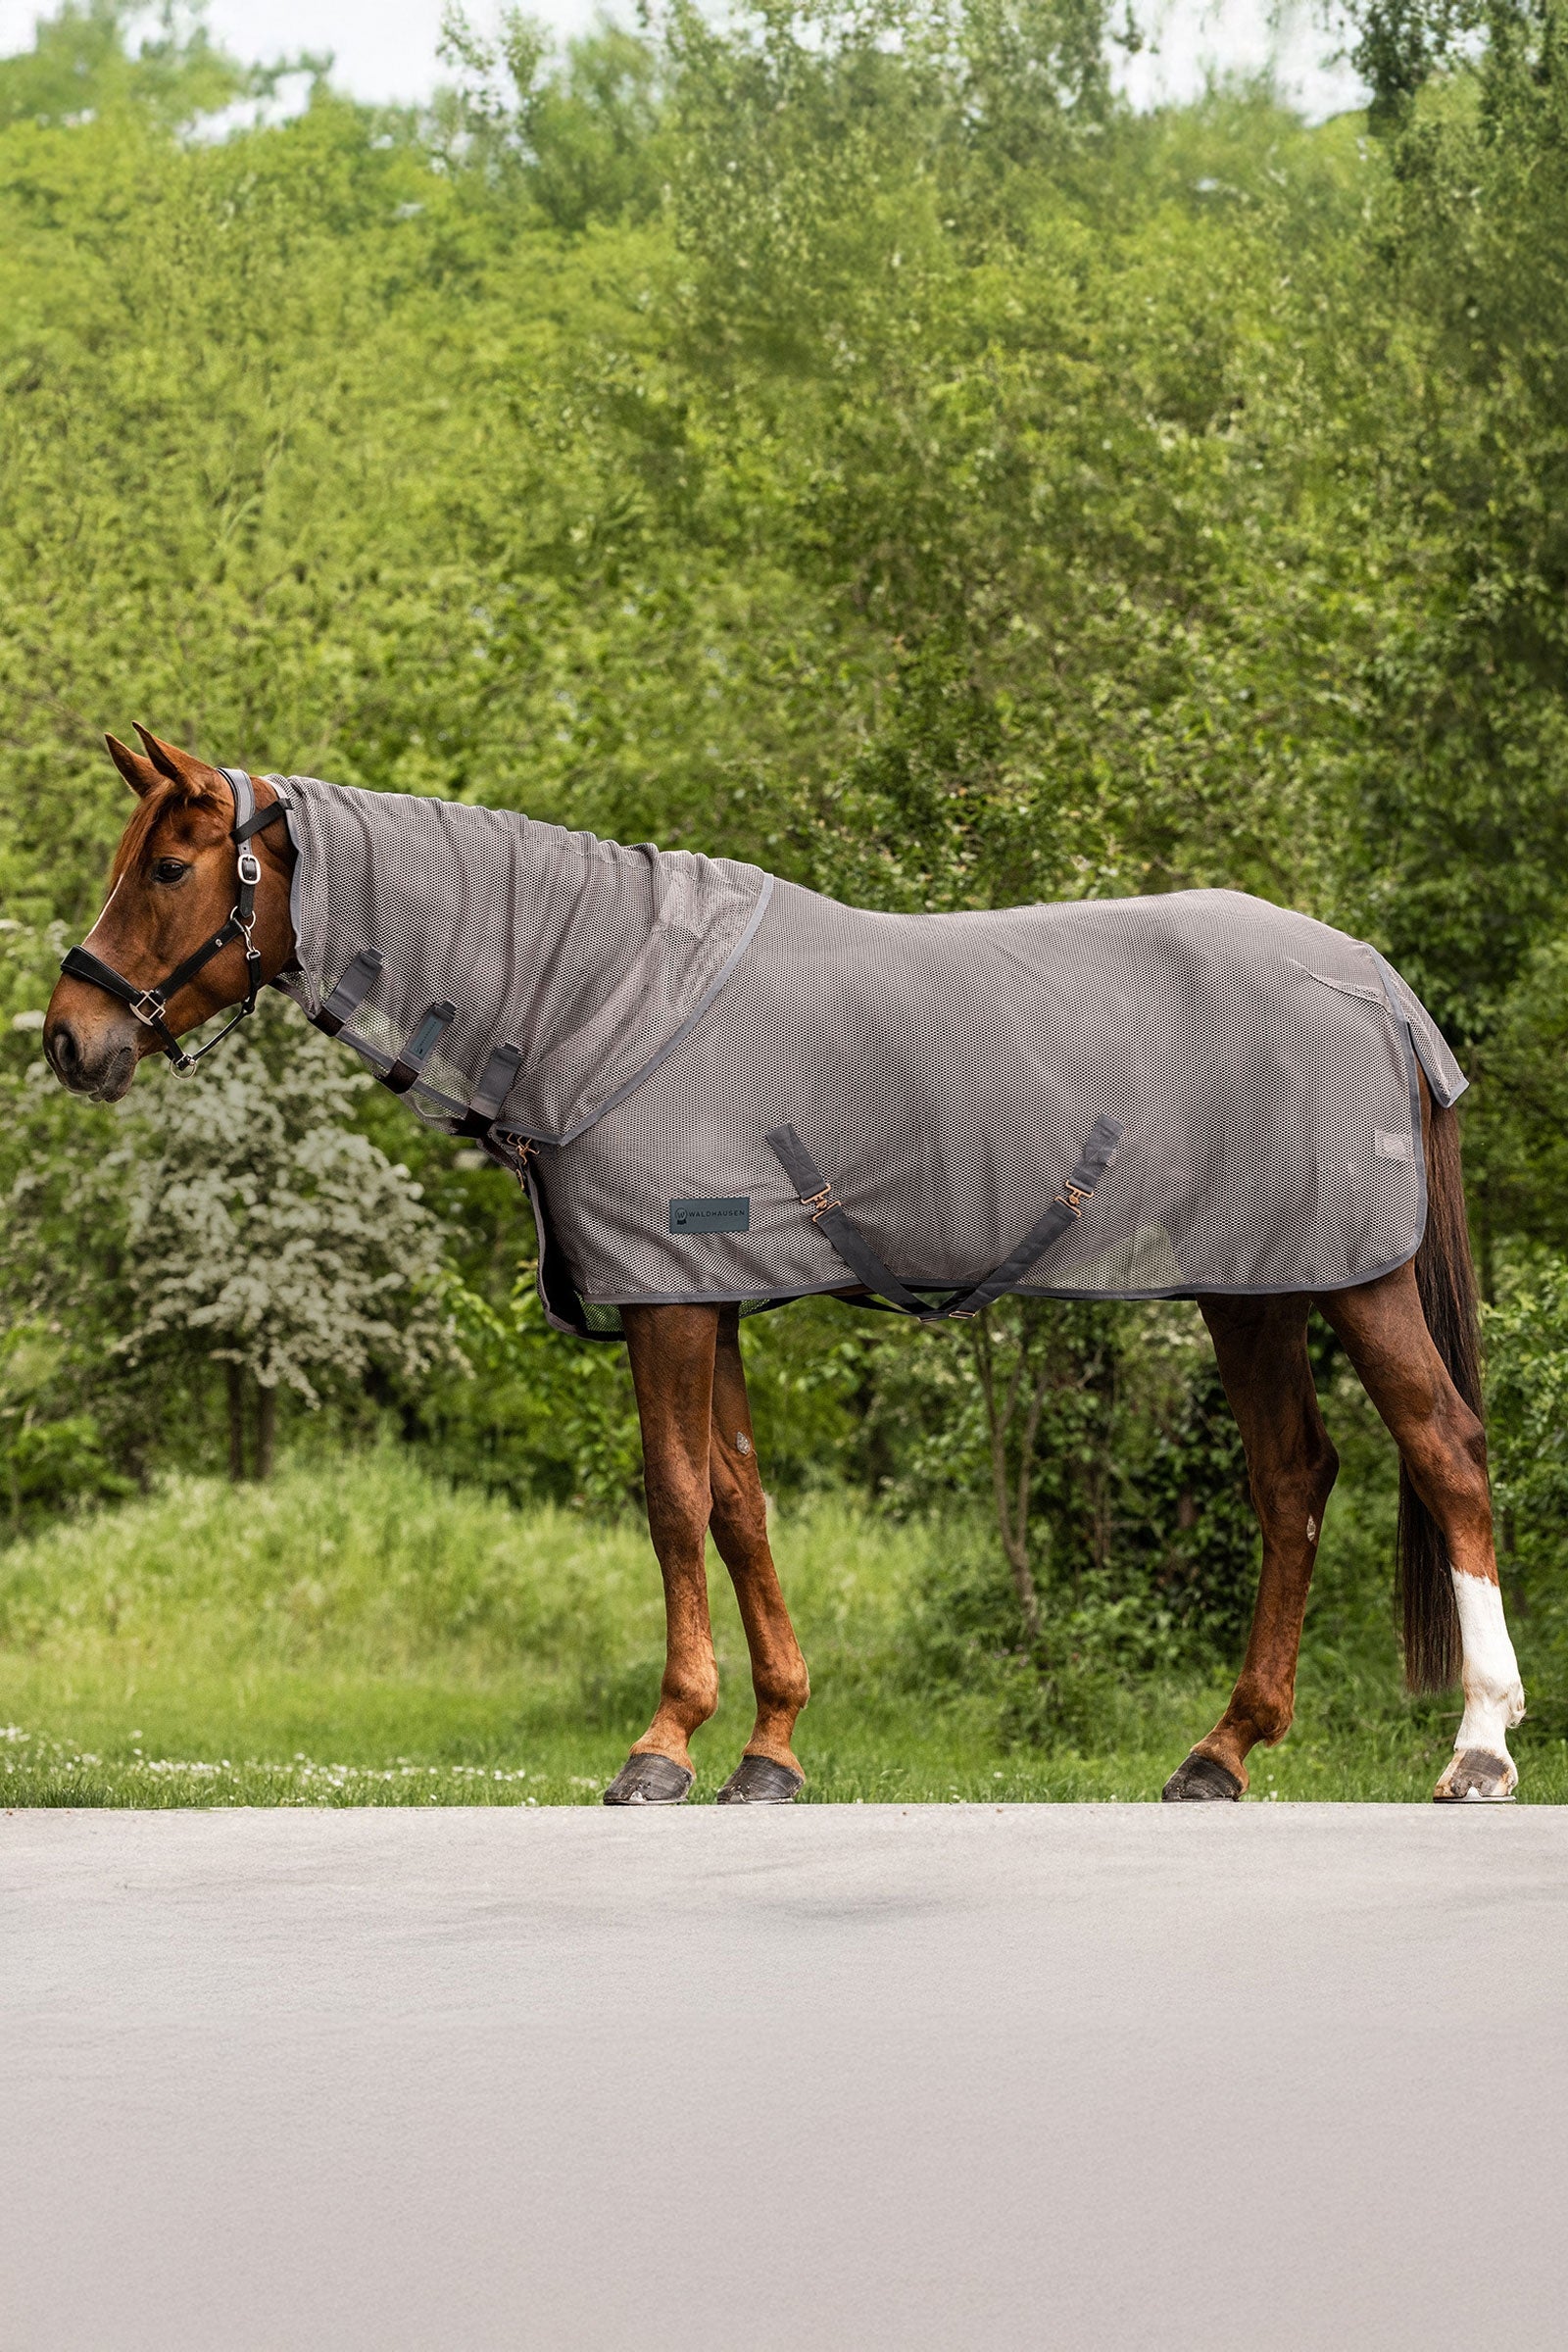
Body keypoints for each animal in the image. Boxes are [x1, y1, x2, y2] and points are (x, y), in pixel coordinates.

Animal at [44, 727, 1527, 1805]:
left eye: (167, 869)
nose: (67, 1038)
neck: (600, 996)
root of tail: (1377, 985)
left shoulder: (668, 1297)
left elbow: (671, 1501)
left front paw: (662, 1745)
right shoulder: (713, 1297)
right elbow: (741, 1505)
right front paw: (770, 1752)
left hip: (1351, 1280)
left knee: (1444, 1451)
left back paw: (1479, 1748)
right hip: (1253, 1288)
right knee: (1295, 1482)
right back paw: (1219, 1754)